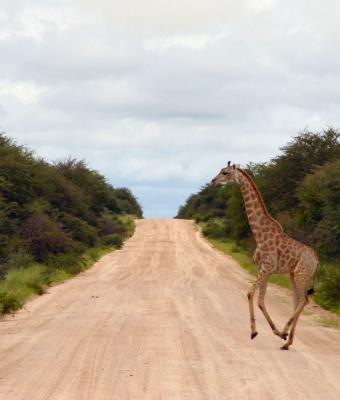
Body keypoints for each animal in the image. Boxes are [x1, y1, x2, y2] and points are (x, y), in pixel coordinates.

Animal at [210, 162, 318, 350]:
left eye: (225, 172)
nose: (213, 181)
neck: (259, 234)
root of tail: (317, 261)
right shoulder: (264, 269)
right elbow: (261, 300)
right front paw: (272, 332)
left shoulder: (267, 267)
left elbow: (250, 294)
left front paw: (255, 332)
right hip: (293, 275)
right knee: (298, 301)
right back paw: (287, 341)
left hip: (300, 274)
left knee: (304, 300)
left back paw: (285, 332)